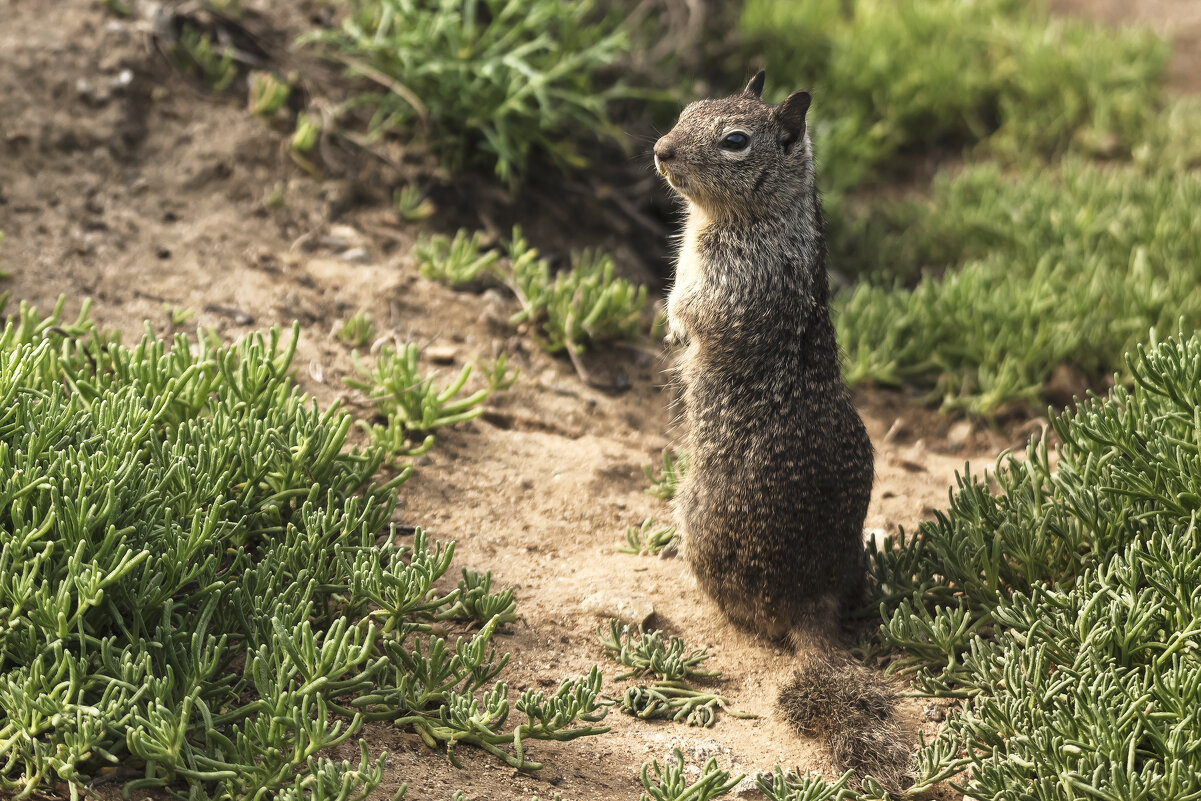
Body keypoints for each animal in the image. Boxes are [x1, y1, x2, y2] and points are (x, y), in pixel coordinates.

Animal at [658, 72, 907, 787]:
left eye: (736, 142)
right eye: (687, 109)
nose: (659, 150)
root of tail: (809, 602)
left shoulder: (724, 274)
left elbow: (691, 309)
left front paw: (675, 330)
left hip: (696, 521)